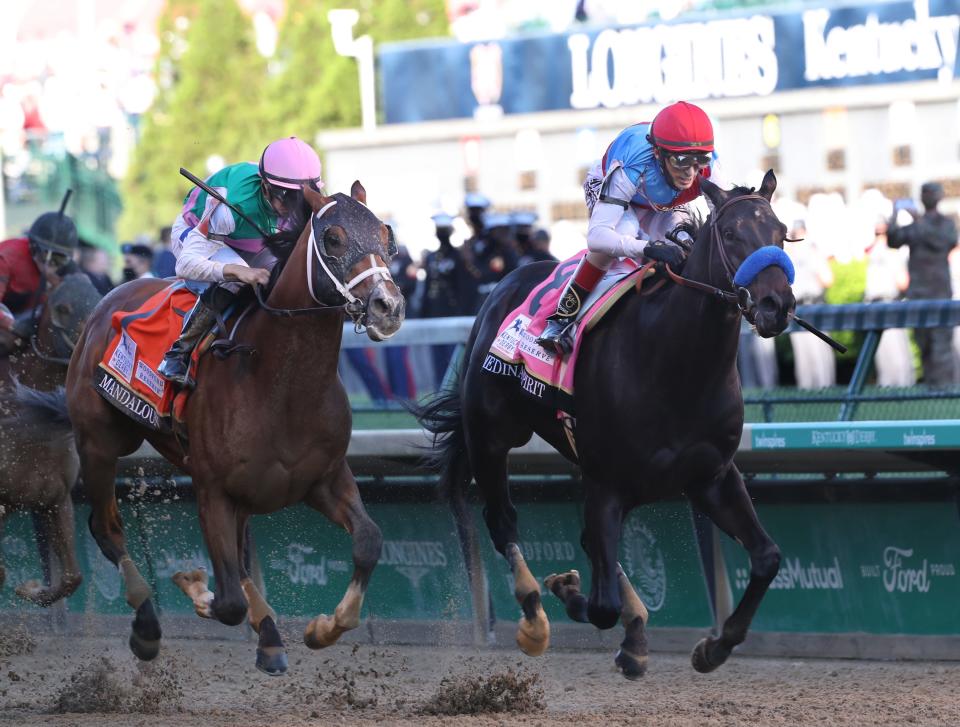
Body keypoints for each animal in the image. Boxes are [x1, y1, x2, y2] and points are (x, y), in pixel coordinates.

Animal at [418, 173, 796, 680]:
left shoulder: (711, 476)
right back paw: (535, 617)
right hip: (491, 436)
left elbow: (767, 558)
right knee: (503, 522)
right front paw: (568, 591)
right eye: (733, 234)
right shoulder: (607, 481)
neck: (677, 363)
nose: (776, 305)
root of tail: (502, 287)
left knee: (590, 544)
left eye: (781, 232)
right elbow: (601, 606)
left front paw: (713, 648)